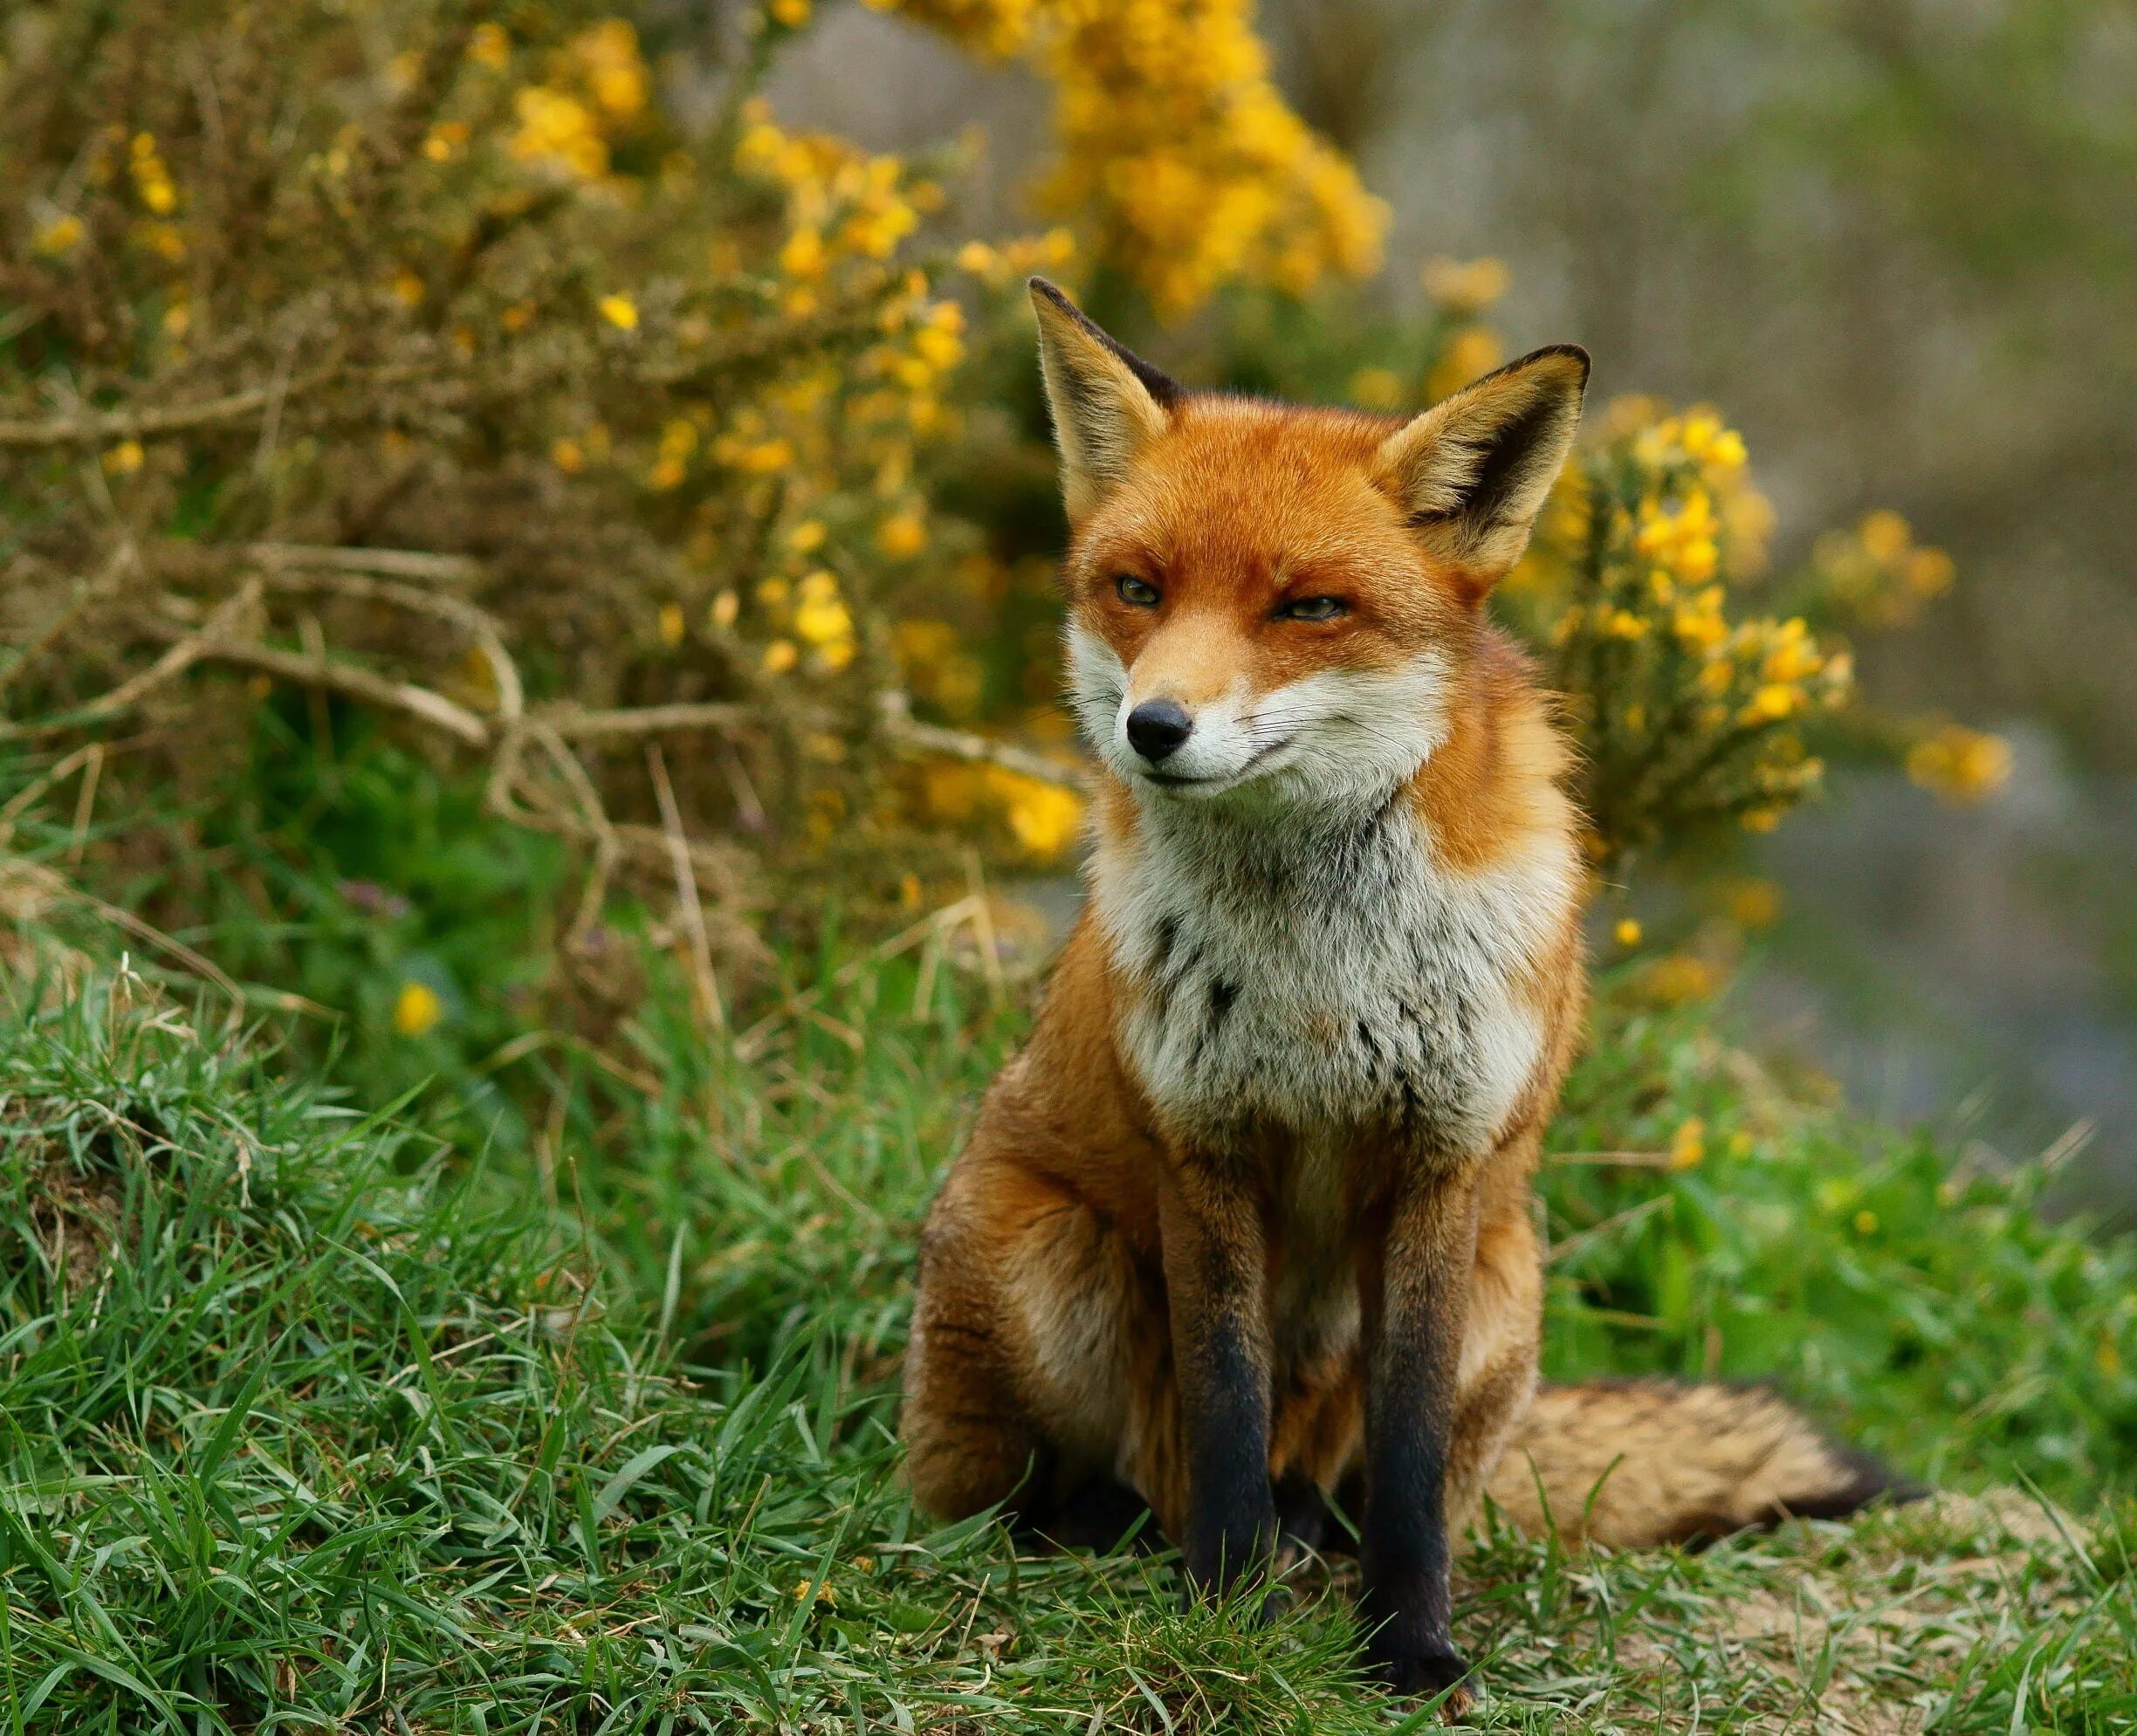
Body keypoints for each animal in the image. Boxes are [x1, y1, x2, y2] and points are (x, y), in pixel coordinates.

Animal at [893, 278, 1914, 1701]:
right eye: (1136, 590)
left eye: (1309, 608)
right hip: (1036, 1249)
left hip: (1506, 1279)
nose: (1153, 729)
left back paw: (1306, 1534)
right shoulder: (1207, 1149)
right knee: (1031, 1490)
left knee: (1358, 1481)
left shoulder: (1440, 1162)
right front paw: (1224, 1610)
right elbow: (1223, 1411)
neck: (1323, 976)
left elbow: (1416, 1461)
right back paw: (1125, 1529)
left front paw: (1411, 1644)